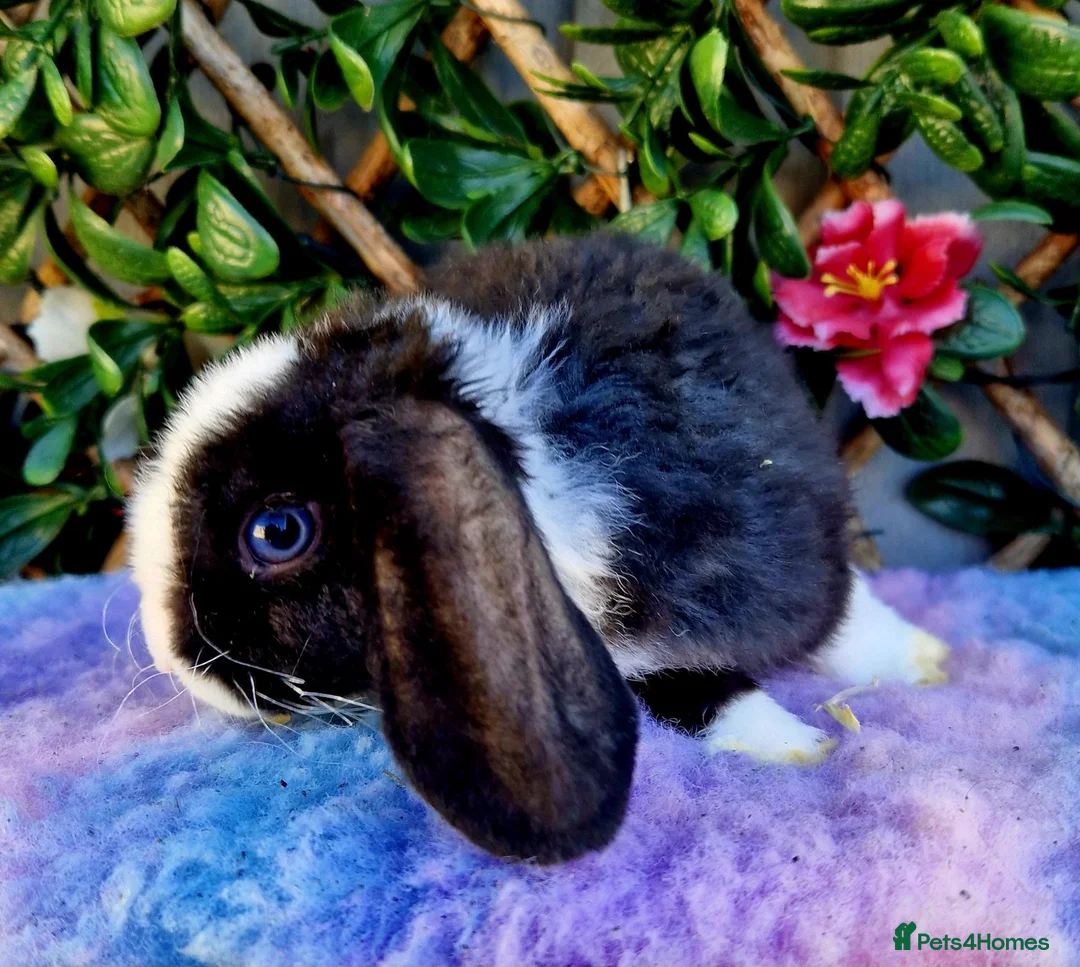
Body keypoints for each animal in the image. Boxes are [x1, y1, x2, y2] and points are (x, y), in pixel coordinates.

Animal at [128, 234, 949, 863]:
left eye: (277, 532)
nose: (173, 657)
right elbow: (694, 690)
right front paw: (796, 741)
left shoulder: (766, 554)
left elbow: (793, 637)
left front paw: (808, 742)